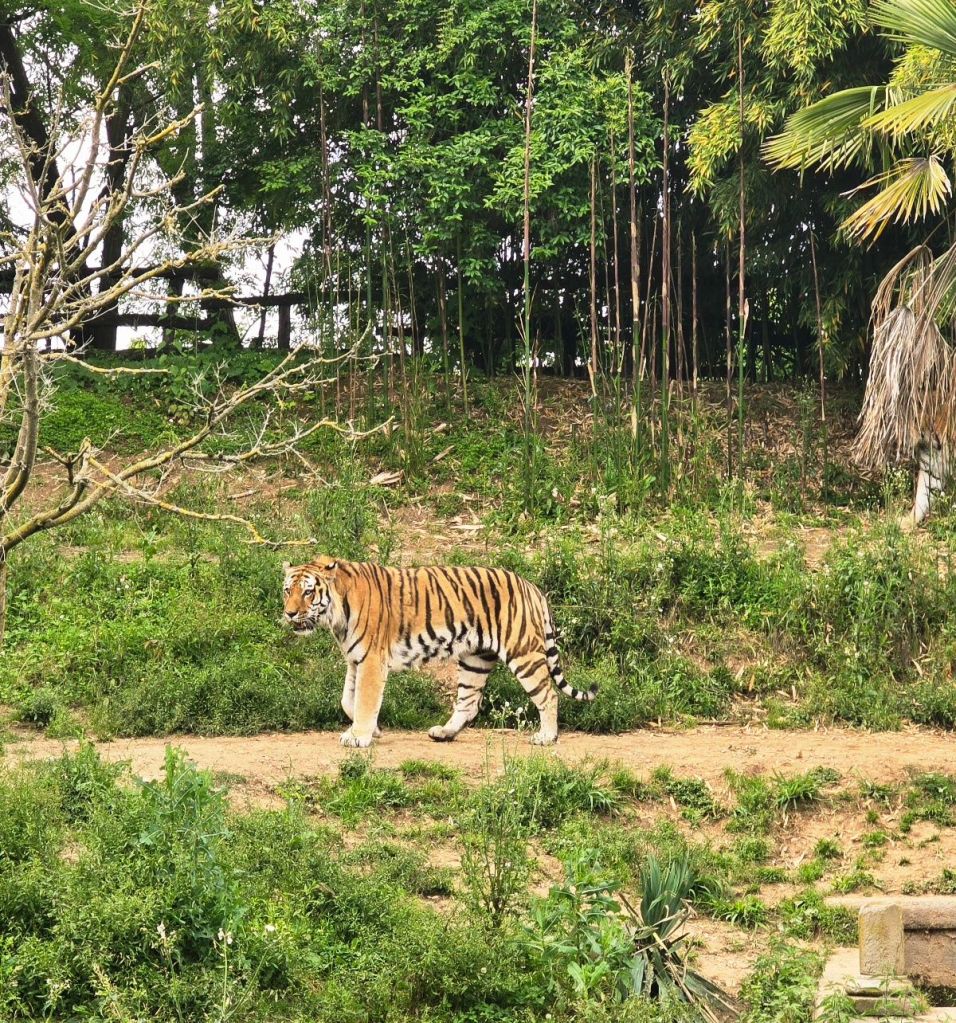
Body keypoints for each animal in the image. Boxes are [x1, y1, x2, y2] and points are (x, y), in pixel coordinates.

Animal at [282, 557, 597, 748]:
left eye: (308, 592)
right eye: (287, 590)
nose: (289, 613)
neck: (336, 614)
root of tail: (531, 587)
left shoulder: (371, 660)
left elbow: (364, 700)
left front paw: (359, 737)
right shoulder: (356, 659)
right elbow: (348, 700)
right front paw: (373, 730)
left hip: (523, 653)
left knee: (548, 694)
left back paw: (546, 736)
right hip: (475, 659)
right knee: (469, 703)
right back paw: (444, 733)